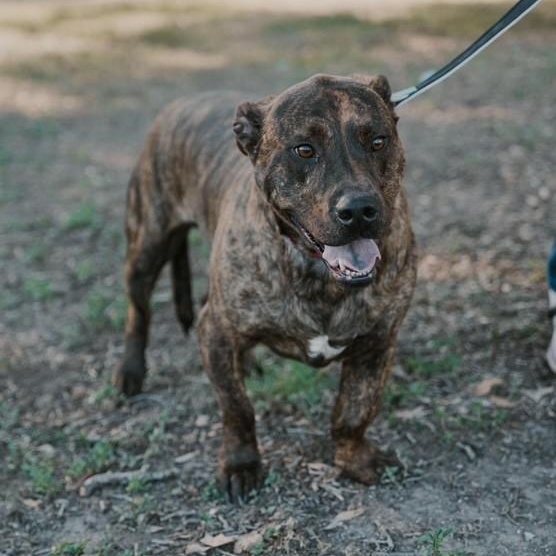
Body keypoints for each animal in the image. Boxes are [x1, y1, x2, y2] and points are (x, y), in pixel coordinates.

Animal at [113, 73, 417, 501]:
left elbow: (354, 411)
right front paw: (241, 464)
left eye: (377, 141)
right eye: (304, 150)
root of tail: (182, 104)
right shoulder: (216, 330)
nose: (358, 210)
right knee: (137, 313)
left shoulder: (378, 342)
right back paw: (130, 372)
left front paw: (355, 459)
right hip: (146, 247)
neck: (315, 271)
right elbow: (237, 408)